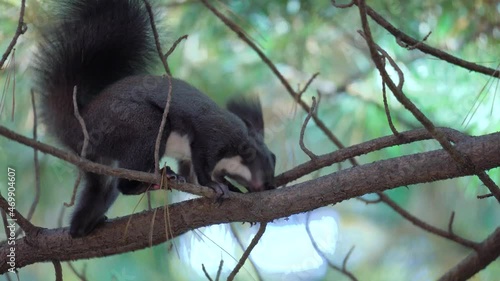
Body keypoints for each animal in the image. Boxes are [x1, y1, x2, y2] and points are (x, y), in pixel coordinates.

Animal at [34, 0, 278, 236]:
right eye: (264, 165)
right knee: (123, 185)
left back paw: (83, 226)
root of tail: (80, 123)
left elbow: (192, 175)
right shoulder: (211, 137)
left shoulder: (193, 159)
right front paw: (214, 186)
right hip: (141, 126)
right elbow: (202, 168)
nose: (267, 187)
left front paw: (233, 189)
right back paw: (157, 179)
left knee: (101, 191)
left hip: (100, 164)